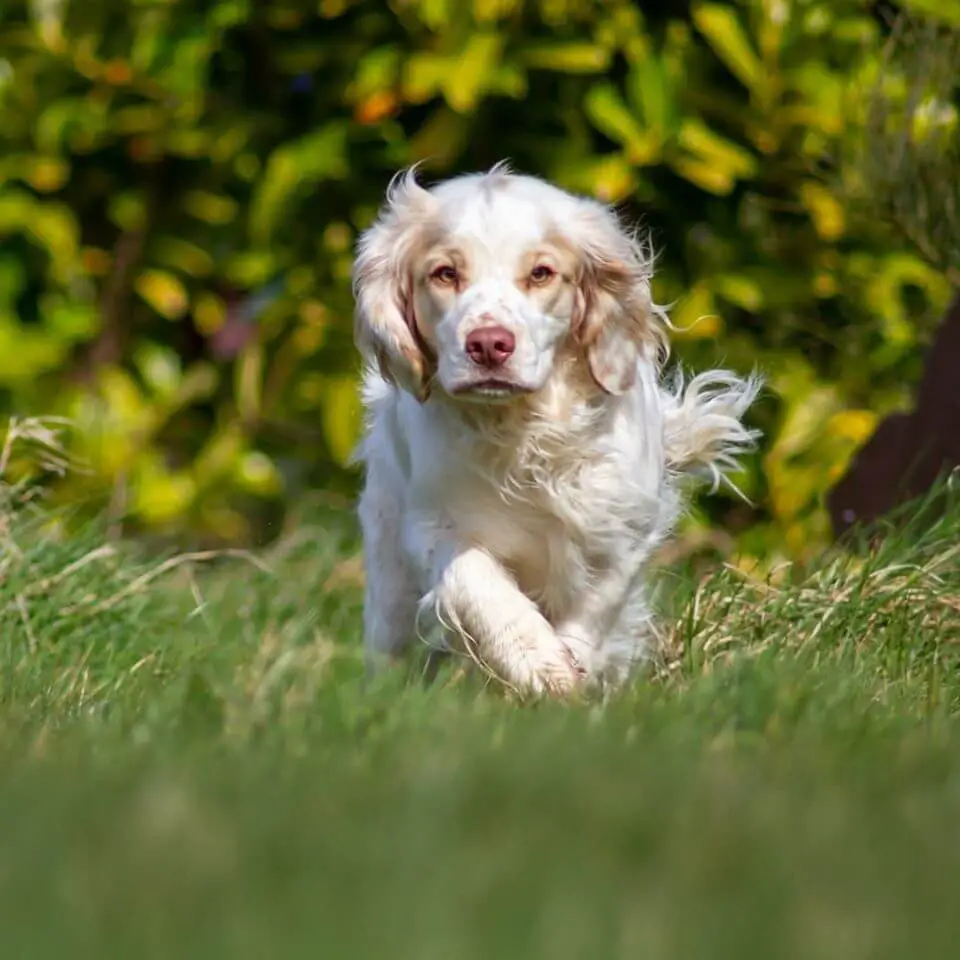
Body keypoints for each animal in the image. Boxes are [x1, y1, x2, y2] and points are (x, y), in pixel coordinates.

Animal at [348, 165, 760, 696]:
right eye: (445, 274)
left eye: (541, 273)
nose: (489, 344)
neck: (521, 434)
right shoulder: (432, 525)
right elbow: (475, 579)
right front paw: (537, 662)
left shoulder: (621, 523)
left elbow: (596, 606)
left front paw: (572, 671)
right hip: (390, 587)